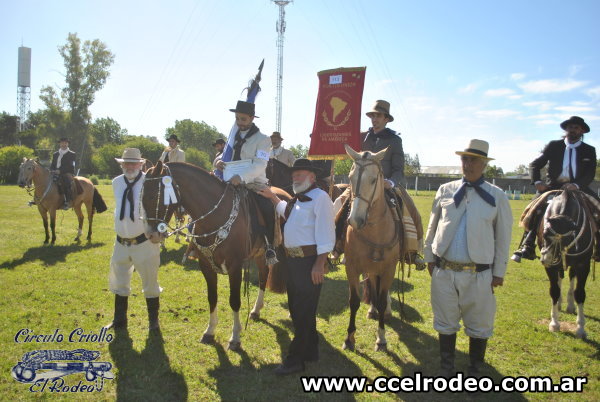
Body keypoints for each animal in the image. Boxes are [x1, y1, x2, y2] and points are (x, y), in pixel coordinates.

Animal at [142, 162, 290, 350]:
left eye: (153, 195)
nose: (151, 235)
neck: (215, 217)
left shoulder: (235, 267)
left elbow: (234, 301)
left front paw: (235, 337)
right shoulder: (206, 266)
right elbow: (212, 298)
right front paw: (210, 331)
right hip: (260, 252)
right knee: (264, 275)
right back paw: (256, 310)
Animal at [342, 145, 404, 352]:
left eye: (373, 179)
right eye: (350, 177)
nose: (355, 220)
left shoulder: (388, 270)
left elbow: (383, 299)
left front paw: (381, 339)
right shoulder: (352, 267)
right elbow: (354, 301)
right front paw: (349, 338)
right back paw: (372, 310)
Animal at [536, 190, 592, 338]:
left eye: (565, 238)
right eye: (544, 234)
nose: (546, 259)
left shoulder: (583, 265)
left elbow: (580, 293)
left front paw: (580, 328)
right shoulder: (551, 268)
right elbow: (554, 291)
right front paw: (554, 323)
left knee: (572, 277)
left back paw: (570, 305)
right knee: (560, 277)